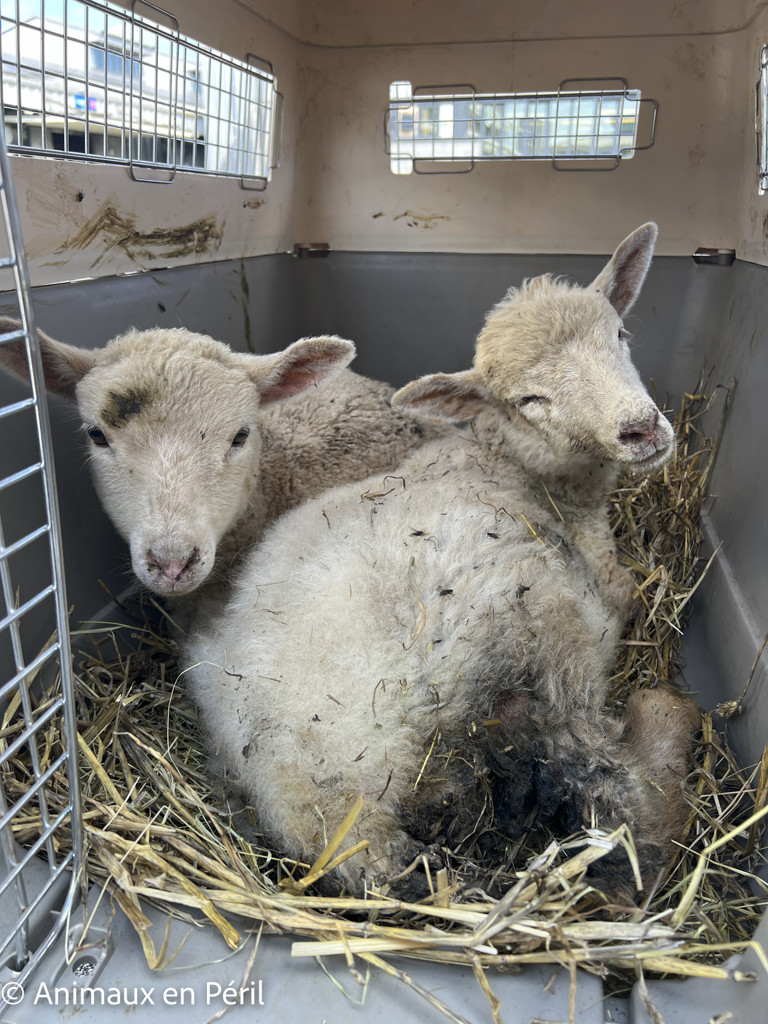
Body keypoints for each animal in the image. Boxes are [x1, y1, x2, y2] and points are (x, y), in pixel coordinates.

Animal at [184, 223, 700, 898]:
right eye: (529, 399)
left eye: (619, 334)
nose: (642, 429)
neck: (520, 467)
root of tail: (332, 818)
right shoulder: (597, 587)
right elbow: (629, 591)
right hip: (530, 642)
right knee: (625, 820)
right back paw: (669, 724)